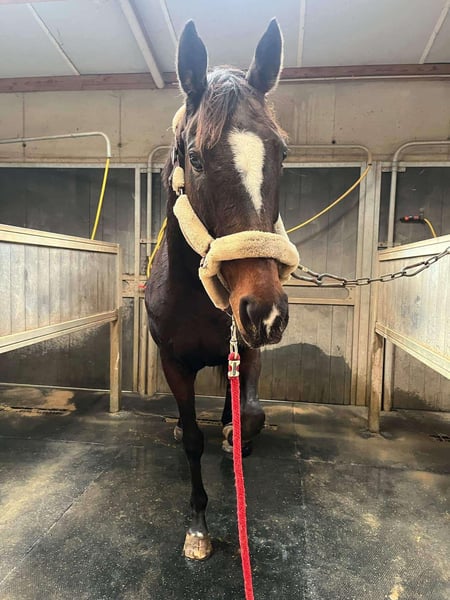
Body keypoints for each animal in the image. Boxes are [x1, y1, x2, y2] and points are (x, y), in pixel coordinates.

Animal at [145, 19, 299, 560]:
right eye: (195, 157)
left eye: (282, 153)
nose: (264, 310)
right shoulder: (174, 362)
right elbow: (193, 437)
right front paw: (198, 525)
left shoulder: (246, 352)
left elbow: (250, 414)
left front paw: (237, 445)